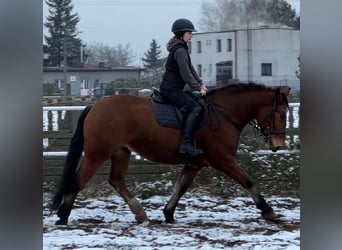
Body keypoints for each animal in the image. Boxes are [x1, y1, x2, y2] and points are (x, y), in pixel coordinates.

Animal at [52, 83, 290, 226]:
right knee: (78, 180)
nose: (278, 145)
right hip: (97, 154)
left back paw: (139, 213)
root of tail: (94, 106)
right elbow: (247, 180)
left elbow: (180, 187)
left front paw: (168, 213)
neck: (223, 114)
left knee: (116, 180)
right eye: (281, 114)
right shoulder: (222, 159)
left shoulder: (195, 163)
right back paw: (63, 216)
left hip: (120, 152)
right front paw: (267, 210)